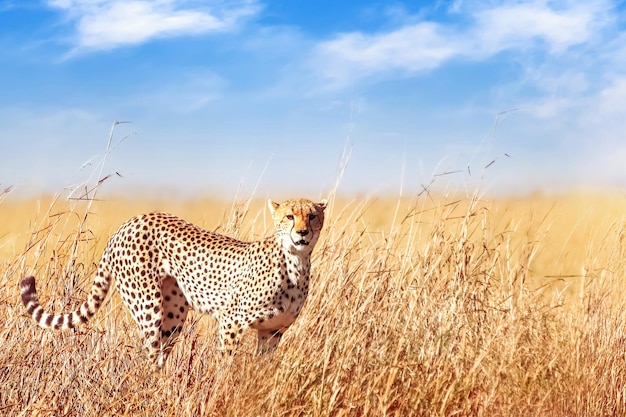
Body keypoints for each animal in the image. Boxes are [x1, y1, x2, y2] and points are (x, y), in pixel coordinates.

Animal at [19, 197, 326, 366]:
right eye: (290, 216)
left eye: (312, 216)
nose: (302, 233)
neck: (295, 262)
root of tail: (128, 222)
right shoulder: (231, 320)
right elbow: (227, 363)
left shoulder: (272, 332)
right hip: (148, 307)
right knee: (149, 356)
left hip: (174, 314)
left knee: (161, 352)